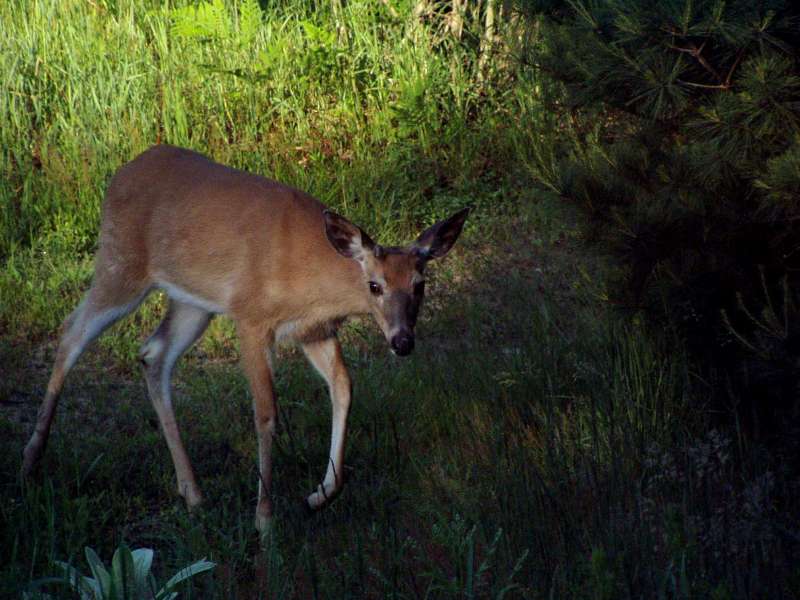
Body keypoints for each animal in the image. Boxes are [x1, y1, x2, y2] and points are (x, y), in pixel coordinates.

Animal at [21, 146, 468, 536]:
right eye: (375, 285)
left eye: (420, 285)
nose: (402, 341)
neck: (309, 276)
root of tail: (120, 174)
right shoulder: (251, 318)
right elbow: (266, 413)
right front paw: (265, 520)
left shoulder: (314, 330)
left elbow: (343, 387)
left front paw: (320, 495)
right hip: (121, 264)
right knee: (72, 331)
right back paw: (31, 461)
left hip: (192, 302)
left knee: (152, 353)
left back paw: (193, 494)